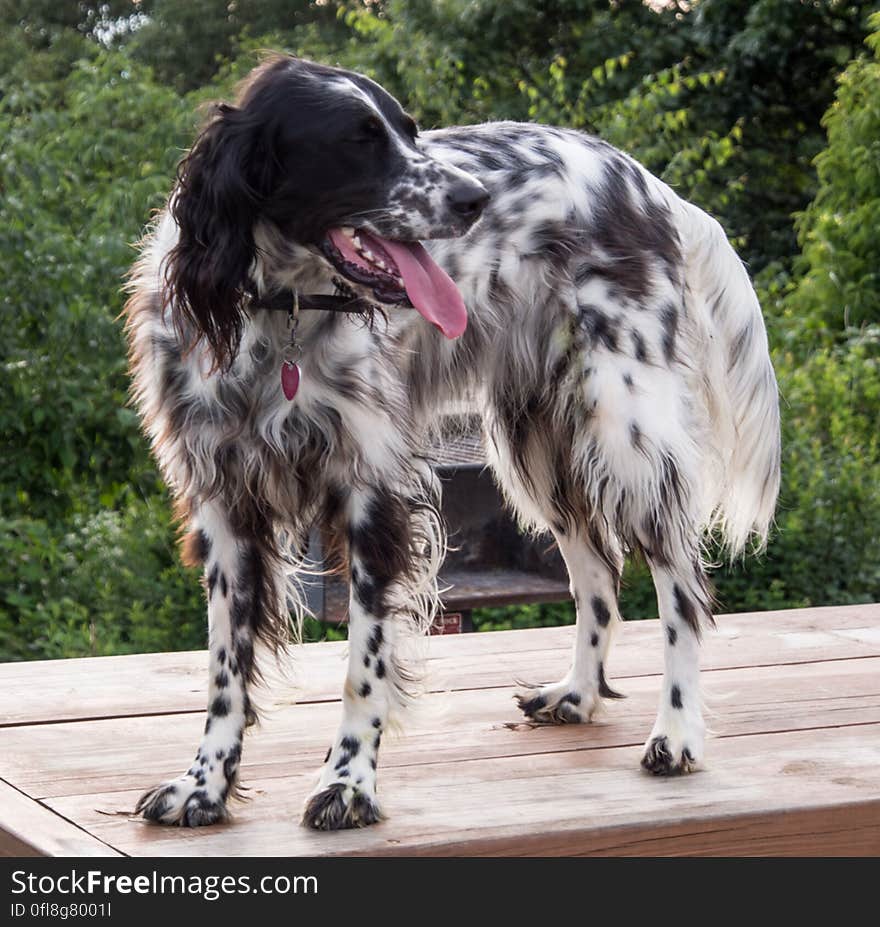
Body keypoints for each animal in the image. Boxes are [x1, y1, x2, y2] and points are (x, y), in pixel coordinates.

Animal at [124, 54, 776, 832]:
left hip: (627, 435)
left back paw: (676, 733)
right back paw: (577, 693)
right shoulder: (223, 505)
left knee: (680, 589)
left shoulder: (373, 495)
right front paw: (204, 785)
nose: (474, 199)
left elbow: (363, 667)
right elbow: (224, 673)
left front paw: (349, 784)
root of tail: (646, 184)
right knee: (599, 574)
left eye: (410, 129)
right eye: (358, 140)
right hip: (538, 450)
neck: (278, 313)